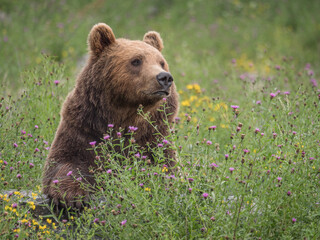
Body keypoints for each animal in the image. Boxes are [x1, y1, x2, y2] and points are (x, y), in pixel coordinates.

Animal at [41, 23, 179, 209]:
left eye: (162, 62)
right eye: (136, 60)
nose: (164, 77)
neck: (124, 115)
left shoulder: (155, 135)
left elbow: (165, 167)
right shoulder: (83, 127)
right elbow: (64, 162)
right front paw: (71, 194)